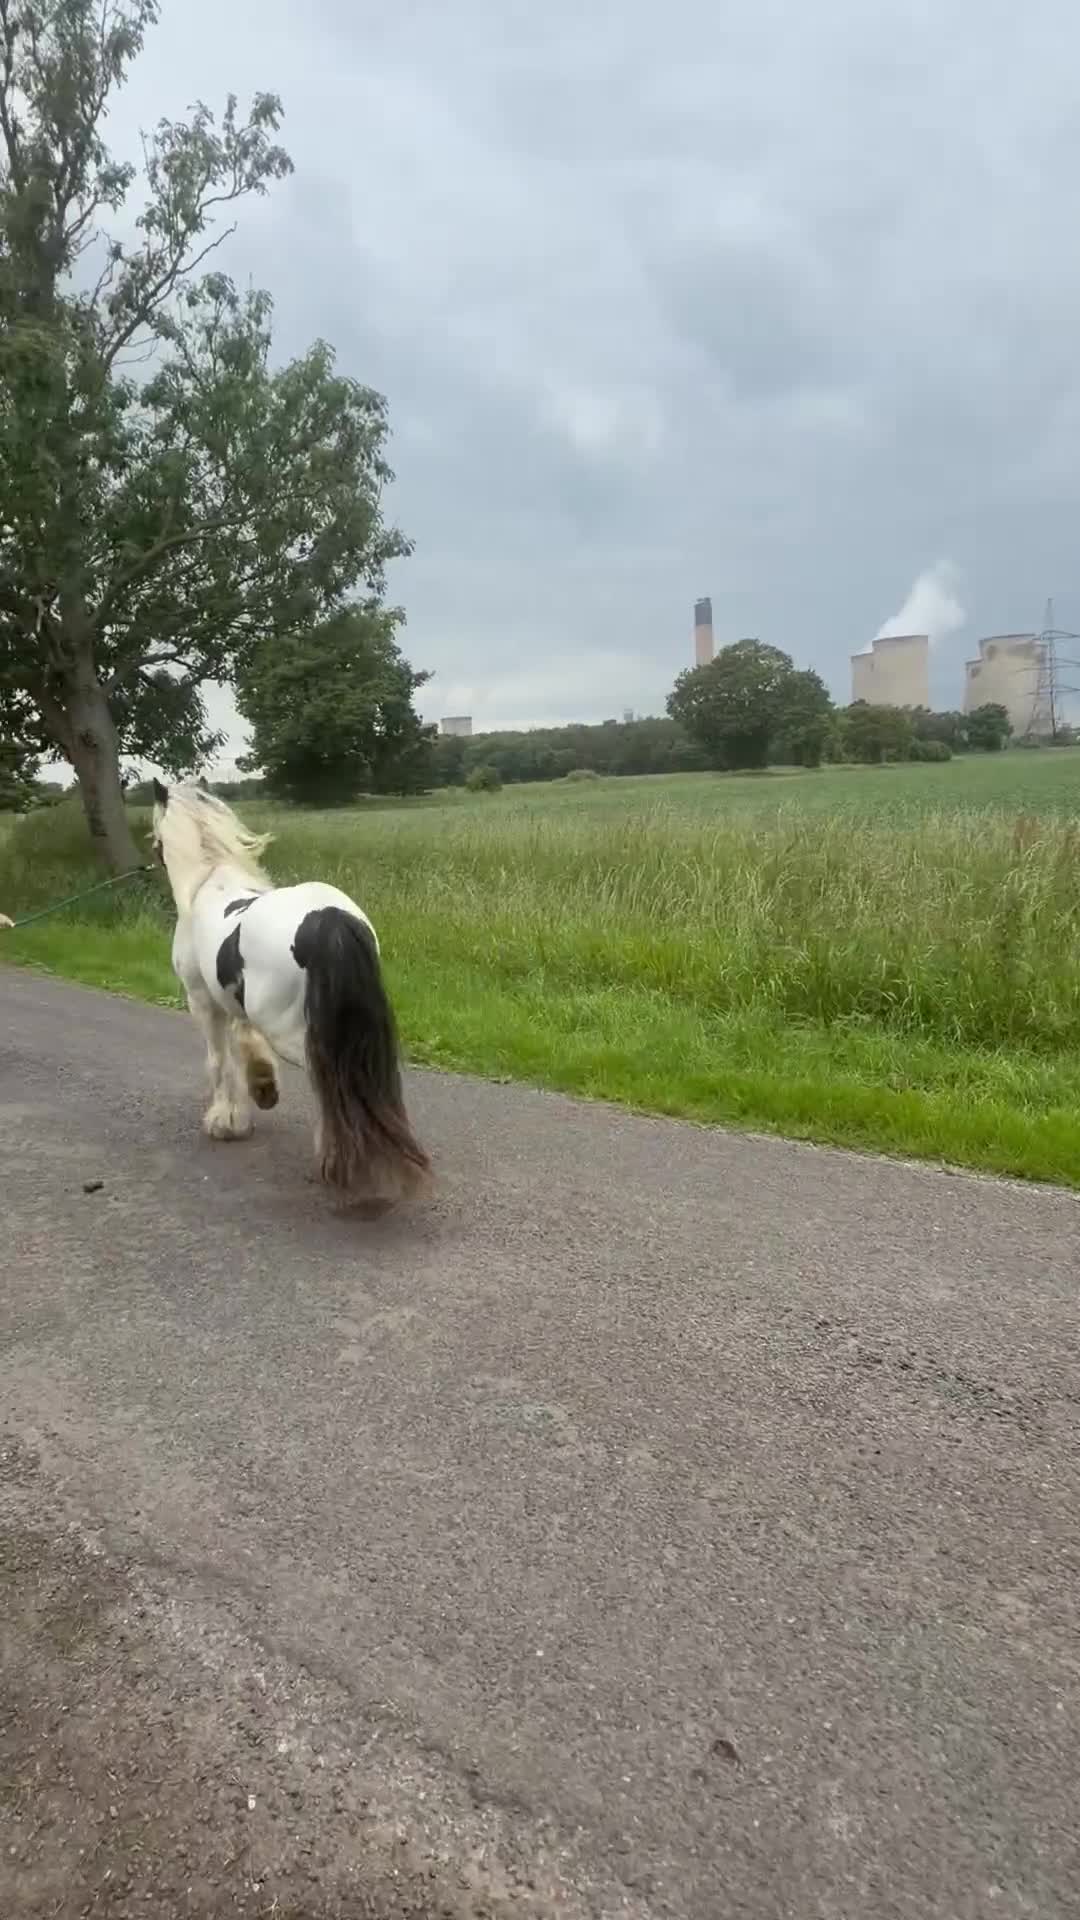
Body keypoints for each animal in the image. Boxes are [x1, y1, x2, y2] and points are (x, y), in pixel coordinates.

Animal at [151, 778, 430, 1207]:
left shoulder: (203, 1002)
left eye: (157, 839)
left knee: (330, 1079)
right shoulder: (236, 1002)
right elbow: (244, 1042)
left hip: (297, 1033)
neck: (209, 884)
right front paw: (261, 1088)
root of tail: (328, 917)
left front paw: (225, 1121)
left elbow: (218, 1060)